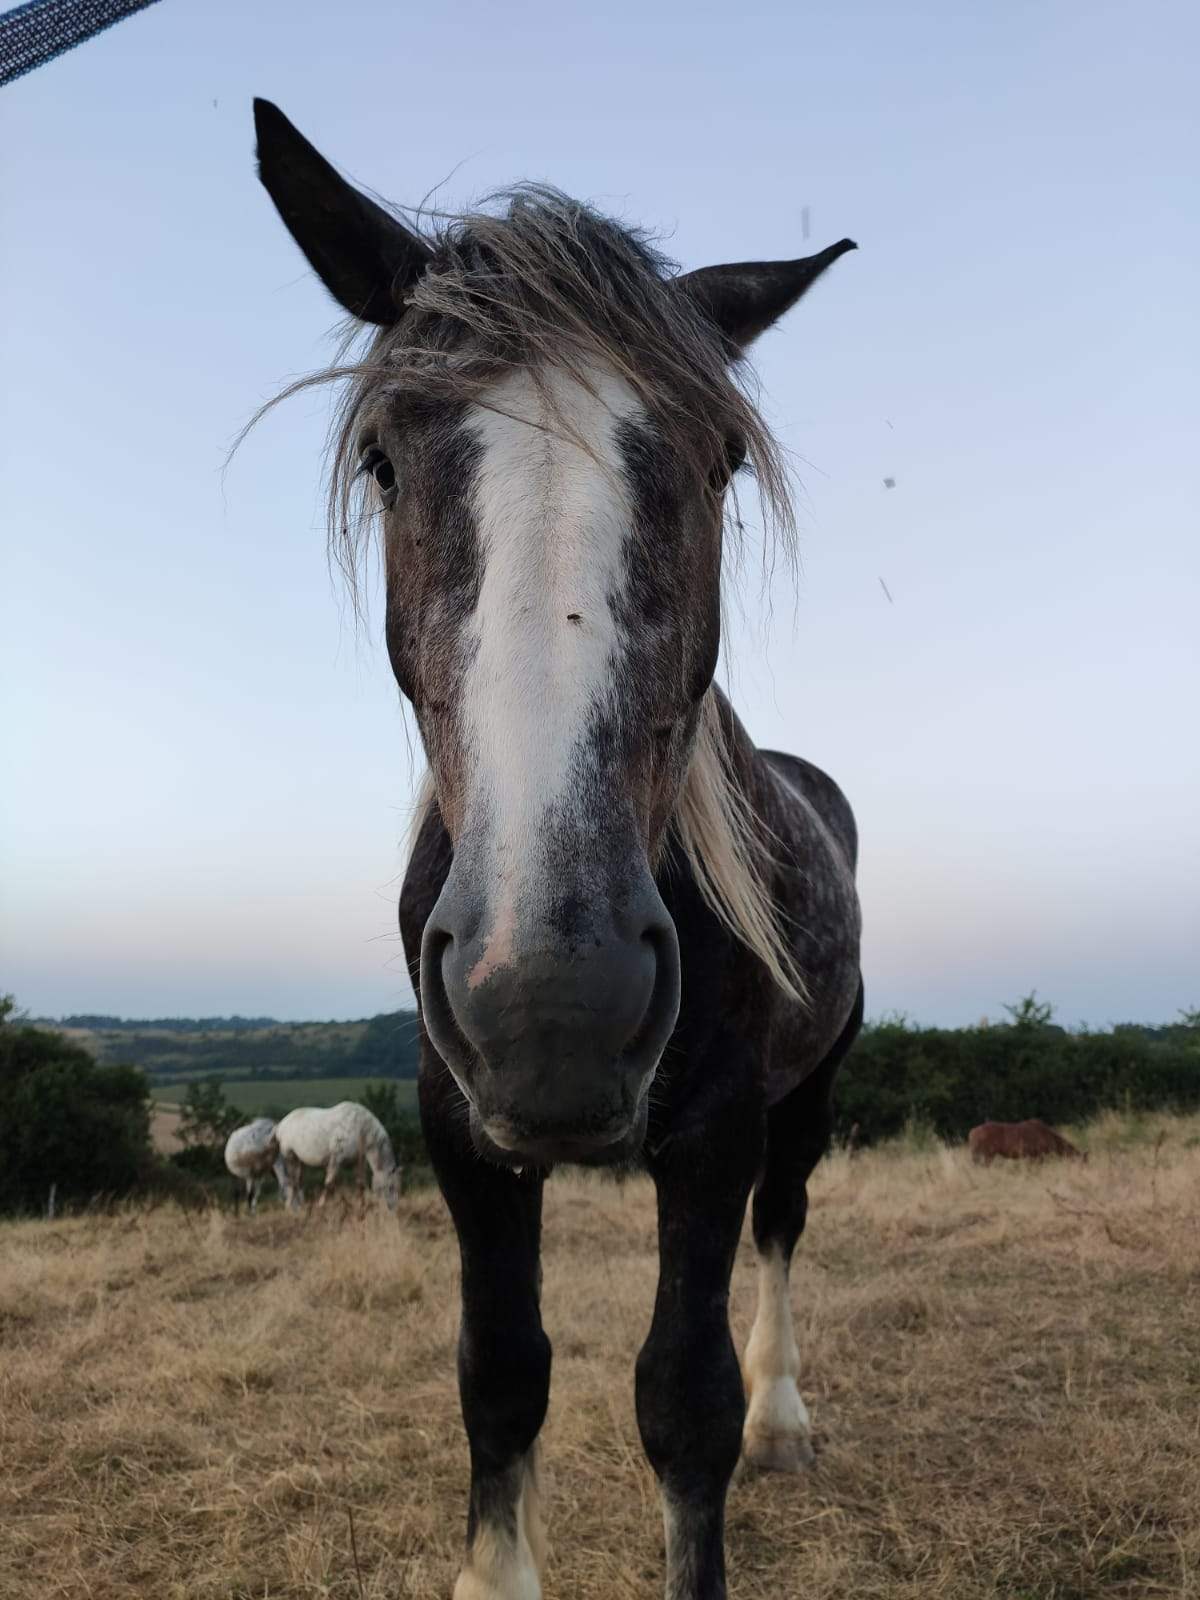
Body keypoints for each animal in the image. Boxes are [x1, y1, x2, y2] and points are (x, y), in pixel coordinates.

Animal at [252, 99, 863, 1600]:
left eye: (720, 462)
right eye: (383, 458)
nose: (553, 1006)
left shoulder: (714, 1129)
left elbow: (685, 1402)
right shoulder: (459, 1126)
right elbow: (500, 1375)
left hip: (807, 1094)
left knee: (782, 1232)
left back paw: (789, 1417)